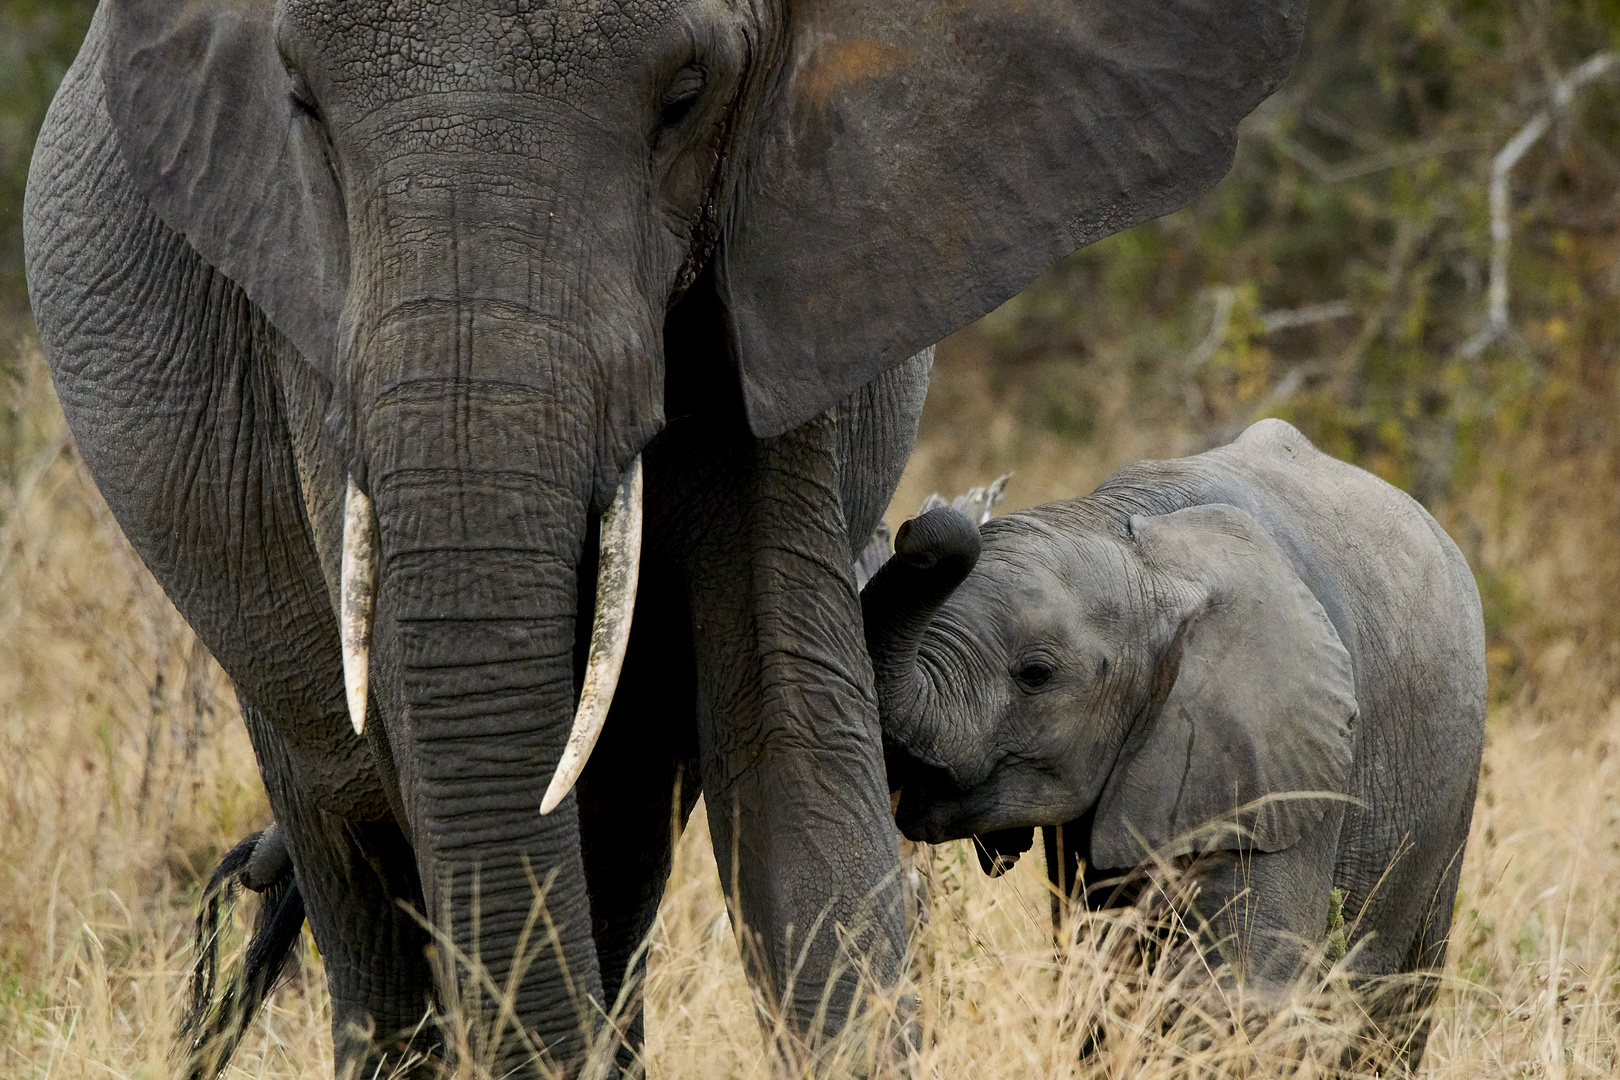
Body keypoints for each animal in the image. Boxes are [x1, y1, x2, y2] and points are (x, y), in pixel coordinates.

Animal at [25, 0, 1308, 1068]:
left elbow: (790, 737)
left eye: (686, 95)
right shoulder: (311, 312)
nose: (939, 532)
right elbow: (409, 736)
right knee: (358, 857)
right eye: (300, 104)